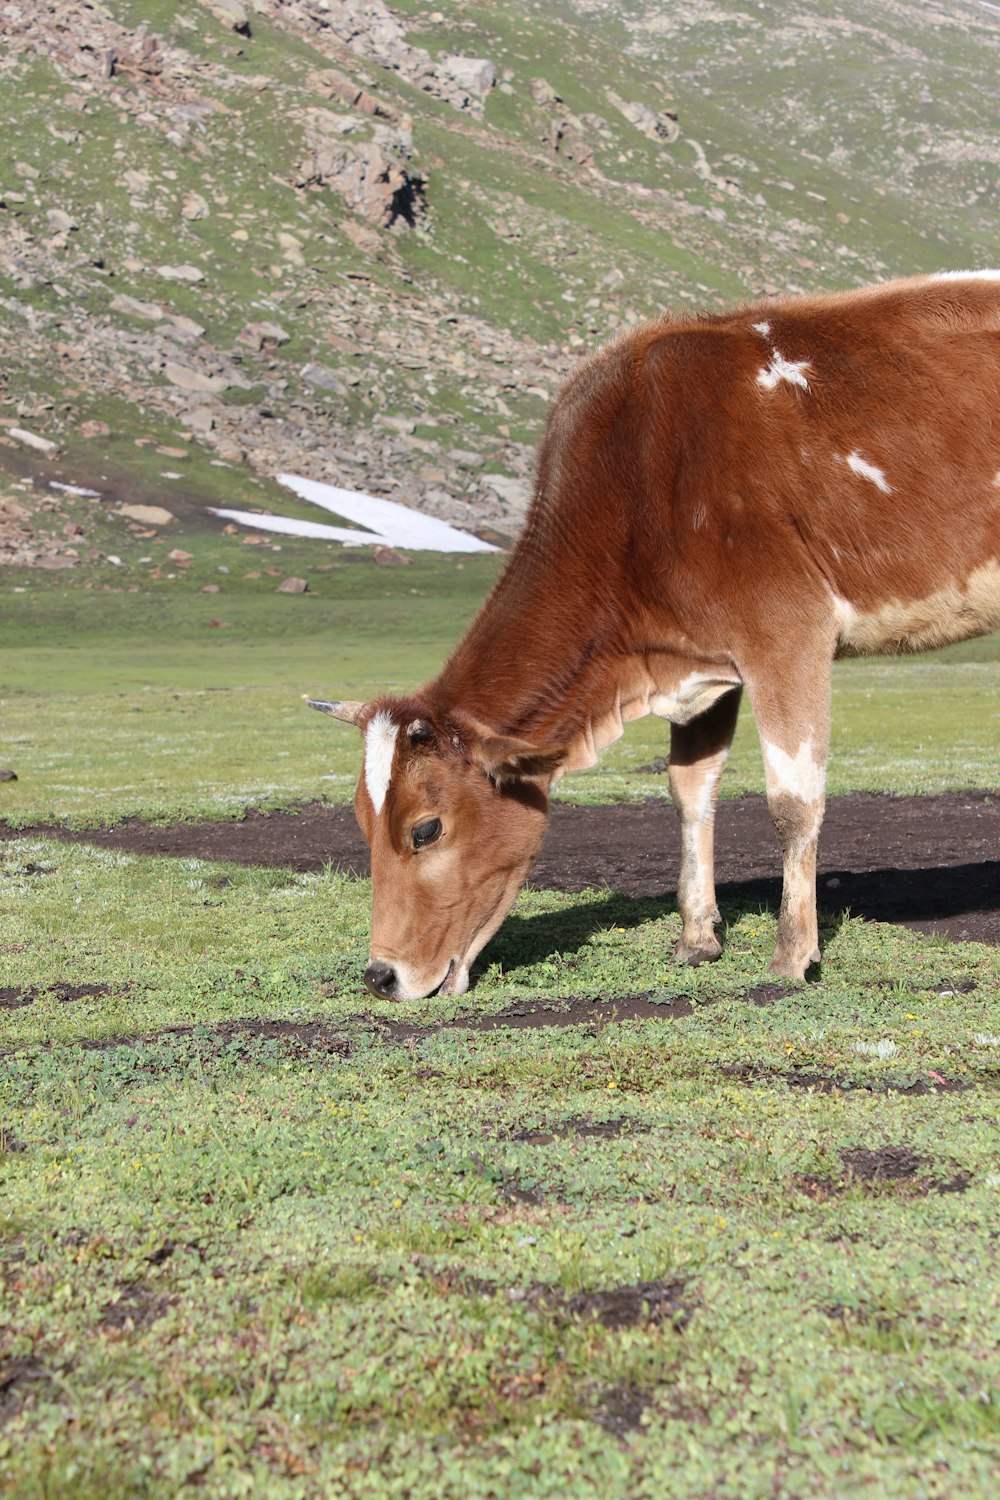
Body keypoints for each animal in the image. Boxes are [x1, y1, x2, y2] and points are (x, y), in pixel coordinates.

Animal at [310, 273, 1000, 996]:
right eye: (359, 819)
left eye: (425, 830)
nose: (380, 975)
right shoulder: (702, 661)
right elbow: (689, 788)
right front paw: (697, 937)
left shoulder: (787, 631)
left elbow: (793, 800)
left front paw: (792, 955)